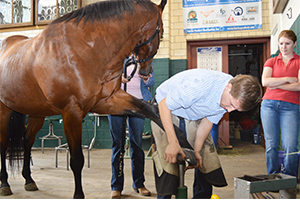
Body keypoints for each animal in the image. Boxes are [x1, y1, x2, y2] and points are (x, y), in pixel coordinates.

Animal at [0, 0, 166, 197]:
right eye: (162, 32)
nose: (146, 72)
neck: (84, 50)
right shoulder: (72, 113)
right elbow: (77, 159)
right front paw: (78, 194)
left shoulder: (107, 101)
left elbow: (146, 109)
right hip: (4, 110)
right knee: (3, 143)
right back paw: (4, 184)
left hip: (36, 112)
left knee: (27, 141)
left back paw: (29, 180)